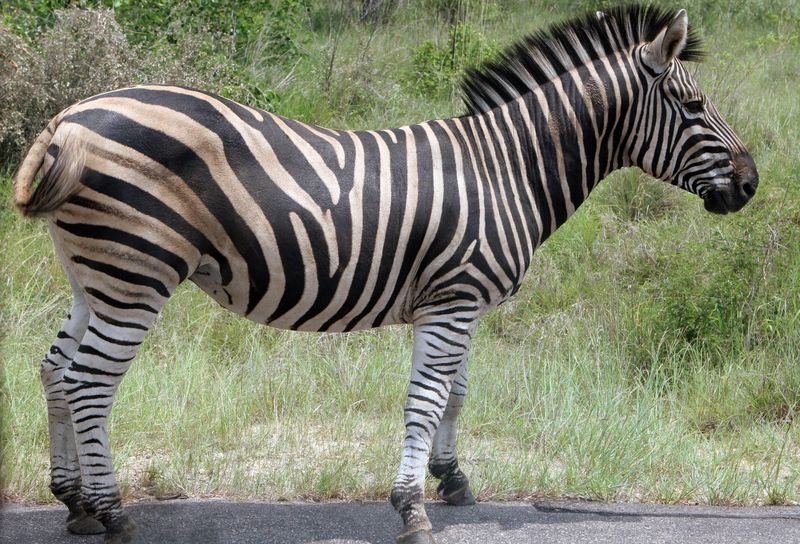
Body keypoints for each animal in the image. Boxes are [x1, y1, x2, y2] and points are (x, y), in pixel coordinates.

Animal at [11, 5, 757, 544]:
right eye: (695, 108)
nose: (751, 184)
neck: (507, 168)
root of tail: (67, 118)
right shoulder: (454, 297)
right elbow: (425, 400)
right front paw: (411, 509)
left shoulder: (460, 299)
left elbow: (457, 394)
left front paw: (452, 480)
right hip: (137, 273)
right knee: (90, 383)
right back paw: (112, 514)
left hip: (93, 273)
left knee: (56, 369)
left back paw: (74, 503)